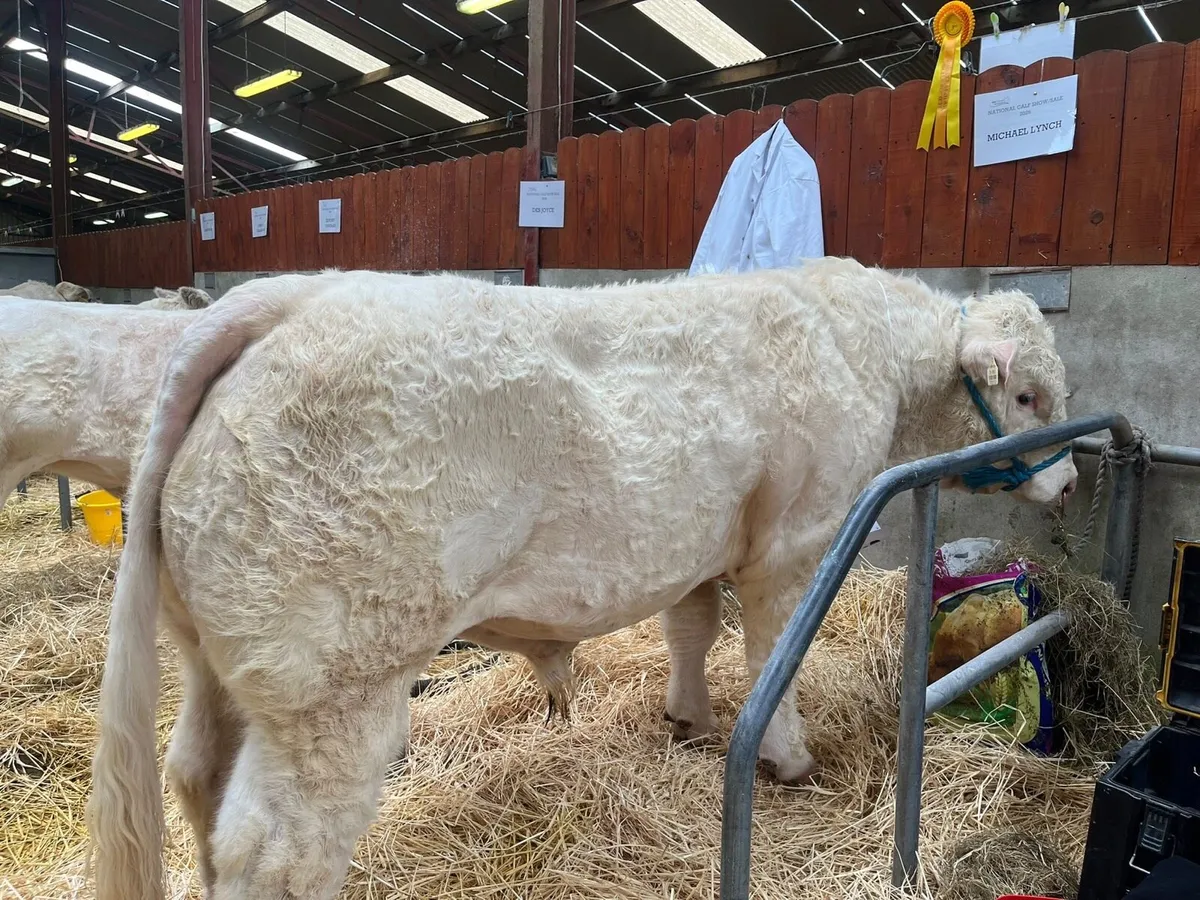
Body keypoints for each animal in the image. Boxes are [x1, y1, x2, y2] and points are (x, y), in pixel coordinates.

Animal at [89, 258, 1077, 900]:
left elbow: (691, 630)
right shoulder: (795, 542)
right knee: (278, 855)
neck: (851, 342)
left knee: (197, 780)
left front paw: (687, 717)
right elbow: (771, 655)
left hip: (222, 663)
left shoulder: (697, 541)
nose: (1068, 481)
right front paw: (786, 756)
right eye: (1028, 395)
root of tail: (285, 300)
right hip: (331, 689)